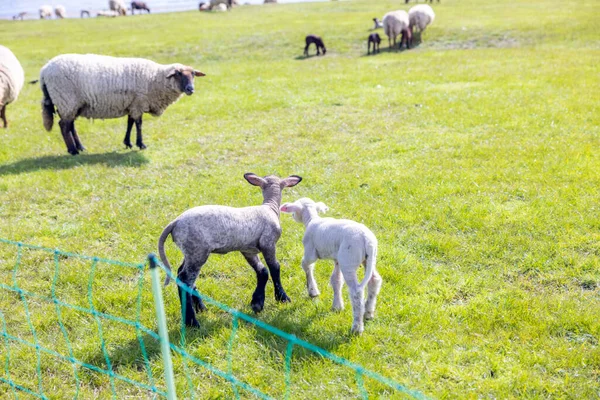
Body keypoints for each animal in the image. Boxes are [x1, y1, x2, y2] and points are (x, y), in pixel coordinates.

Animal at [39, 55, 205, 155]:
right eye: (178, 74)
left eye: (193, 74)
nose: (190, 89)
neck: (155, 78)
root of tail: (44, 70)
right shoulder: (138, 103)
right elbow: (138, 124)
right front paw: (140, 144)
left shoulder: (133, 104)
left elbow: (130, 123)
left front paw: (128, 143)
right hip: (66, 99)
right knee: (63, 126)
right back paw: (73, 150)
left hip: (71, 104)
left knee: (70, 126)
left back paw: (80, 147)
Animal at [157, 173, 302, 326]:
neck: (270, 207)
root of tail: (175, 222)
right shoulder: (268, 243)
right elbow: (275, 268)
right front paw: (283, 298)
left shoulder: (248, 249)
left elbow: (262, 271)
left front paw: (257, 303)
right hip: (198, 250)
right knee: (185, 279)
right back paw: (192, 322)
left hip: (190, 251)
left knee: (182, 273)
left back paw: (201, 308)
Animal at [280, 198, 382, 334]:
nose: (292, 216)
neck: (311, 219)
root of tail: (367, 240)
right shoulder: (337, 259)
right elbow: (336, 280)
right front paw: (337, 306)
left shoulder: (310, 251)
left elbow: (306, 265)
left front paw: (312, 291)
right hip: (368, 259)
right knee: (374, 280)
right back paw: (368, 313)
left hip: (348, 261)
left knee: (356, 292)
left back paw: (357, 327)